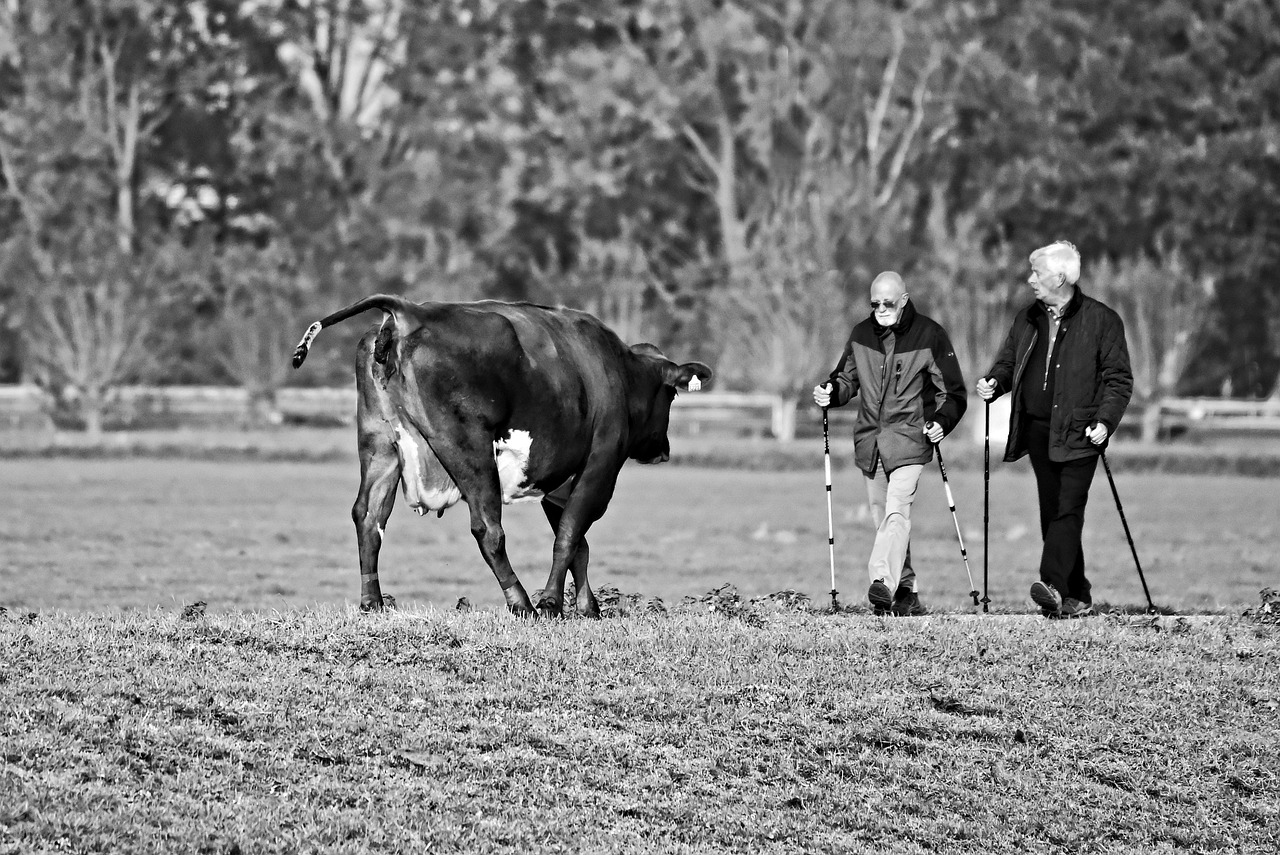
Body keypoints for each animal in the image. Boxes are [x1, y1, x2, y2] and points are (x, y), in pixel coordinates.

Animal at [290, 296, 711, 616]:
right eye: (672, 393)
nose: (663, 450)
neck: (617, 370)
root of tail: (409, 310)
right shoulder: (600, 467)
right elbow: (570, 535)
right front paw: (553, 603)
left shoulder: (558, 484)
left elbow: (579, 545)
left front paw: (588, 608)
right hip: (470, 449)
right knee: (487, 529)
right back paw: (522, 603)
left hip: (380, 446)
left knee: (368, 517)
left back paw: (372, 602)